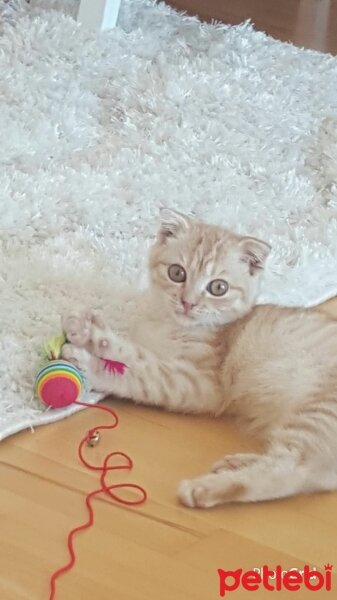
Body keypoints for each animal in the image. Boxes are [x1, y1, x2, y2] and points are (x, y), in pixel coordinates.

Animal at [61, 209, 336, 508]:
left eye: (218, 287)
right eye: (177, 273)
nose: (187, 302)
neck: (169, 325)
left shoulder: (200, 382)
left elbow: (142, 371)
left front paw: (91, 357)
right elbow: (135, 352)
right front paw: (90, 332)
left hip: (319, 413)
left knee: (291, 470)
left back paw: (206, 488)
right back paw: (237, 463)